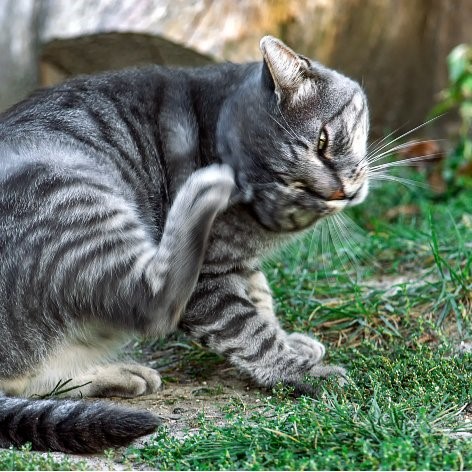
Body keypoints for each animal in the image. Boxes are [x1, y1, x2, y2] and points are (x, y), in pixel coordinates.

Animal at [0, 35, 368, 452]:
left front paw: (291, 344)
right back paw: (200, 191)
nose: (338, 193)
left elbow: (260, 299)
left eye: (323, 141)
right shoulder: (210, 281)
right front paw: (300, 370)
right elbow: (248, 330)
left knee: (29, 382)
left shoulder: (240, 263)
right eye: (289, 186)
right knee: (150, 300)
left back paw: (115, 374)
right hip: (72, 194)